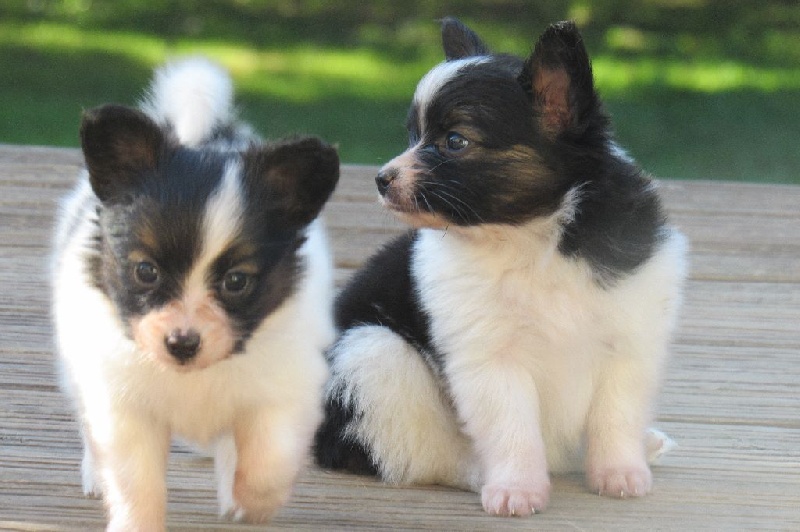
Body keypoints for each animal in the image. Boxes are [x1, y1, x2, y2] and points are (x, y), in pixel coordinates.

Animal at [50, 58, 338, 528]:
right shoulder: (123, 402)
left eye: (236, 282)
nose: (182, 343)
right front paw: (136, 522)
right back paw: (94, 472)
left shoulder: (284, 389)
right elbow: (136, 481)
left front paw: (249, 502)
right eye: (145, 271)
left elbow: (268, 462)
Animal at [316, 19, 692, 516]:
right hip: (372, 354)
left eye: (454, 142)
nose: (381, 180)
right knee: (418, 455)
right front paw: (517, 488)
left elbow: (616, 416)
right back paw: (482, 474)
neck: (530, 237)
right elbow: (512, 430)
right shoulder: (491, 360)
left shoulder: (628, 341)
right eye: (413, 135)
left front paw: (620, 472)